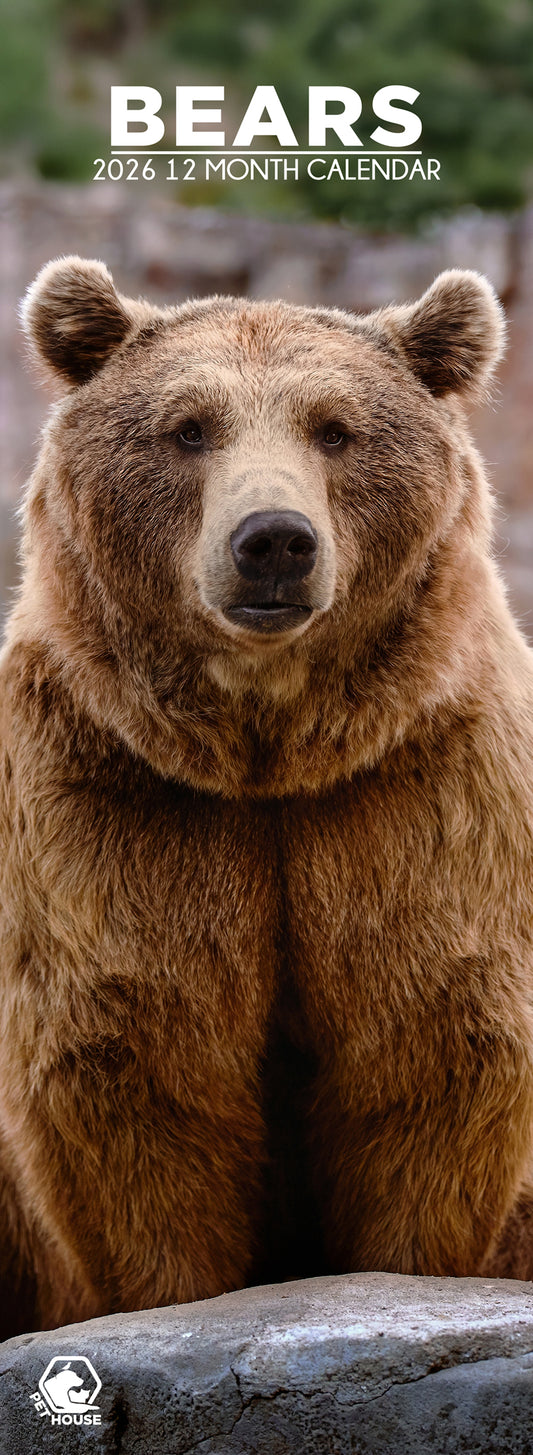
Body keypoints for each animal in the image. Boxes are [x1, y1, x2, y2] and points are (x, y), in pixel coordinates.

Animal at [1, 254, 533, 1339]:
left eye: (335, 428)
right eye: (187, 427)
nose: (275, 541)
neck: (267, 751)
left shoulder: (418, 787)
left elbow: (428, 1045)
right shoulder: (111, 796)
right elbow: (138, 1061)